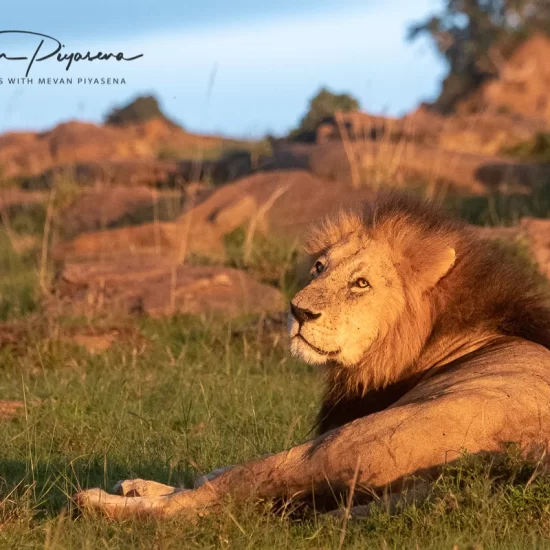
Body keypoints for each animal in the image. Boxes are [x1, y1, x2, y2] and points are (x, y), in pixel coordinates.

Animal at [75, 192, 550, 520]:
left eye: (360, 283)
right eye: (320, 267)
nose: (298, 310)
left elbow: (221, 475)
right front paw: (141, 484)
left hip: (353, 441)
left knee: (219, 494)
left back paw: (97, 503)